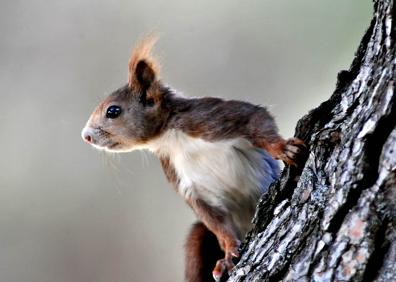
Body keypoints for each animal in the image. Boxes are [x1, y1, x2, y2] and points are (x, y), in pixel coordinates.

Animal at [80, 37, 304, 280]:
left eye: (113, 111)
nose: (85, 136)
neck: (172, 139)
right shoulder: (183, 179)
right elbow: (214, 220)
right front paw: (229, 254)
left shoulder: (213, 117)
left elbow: (256, 119)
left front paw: (281, 148)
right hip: (197, 238)